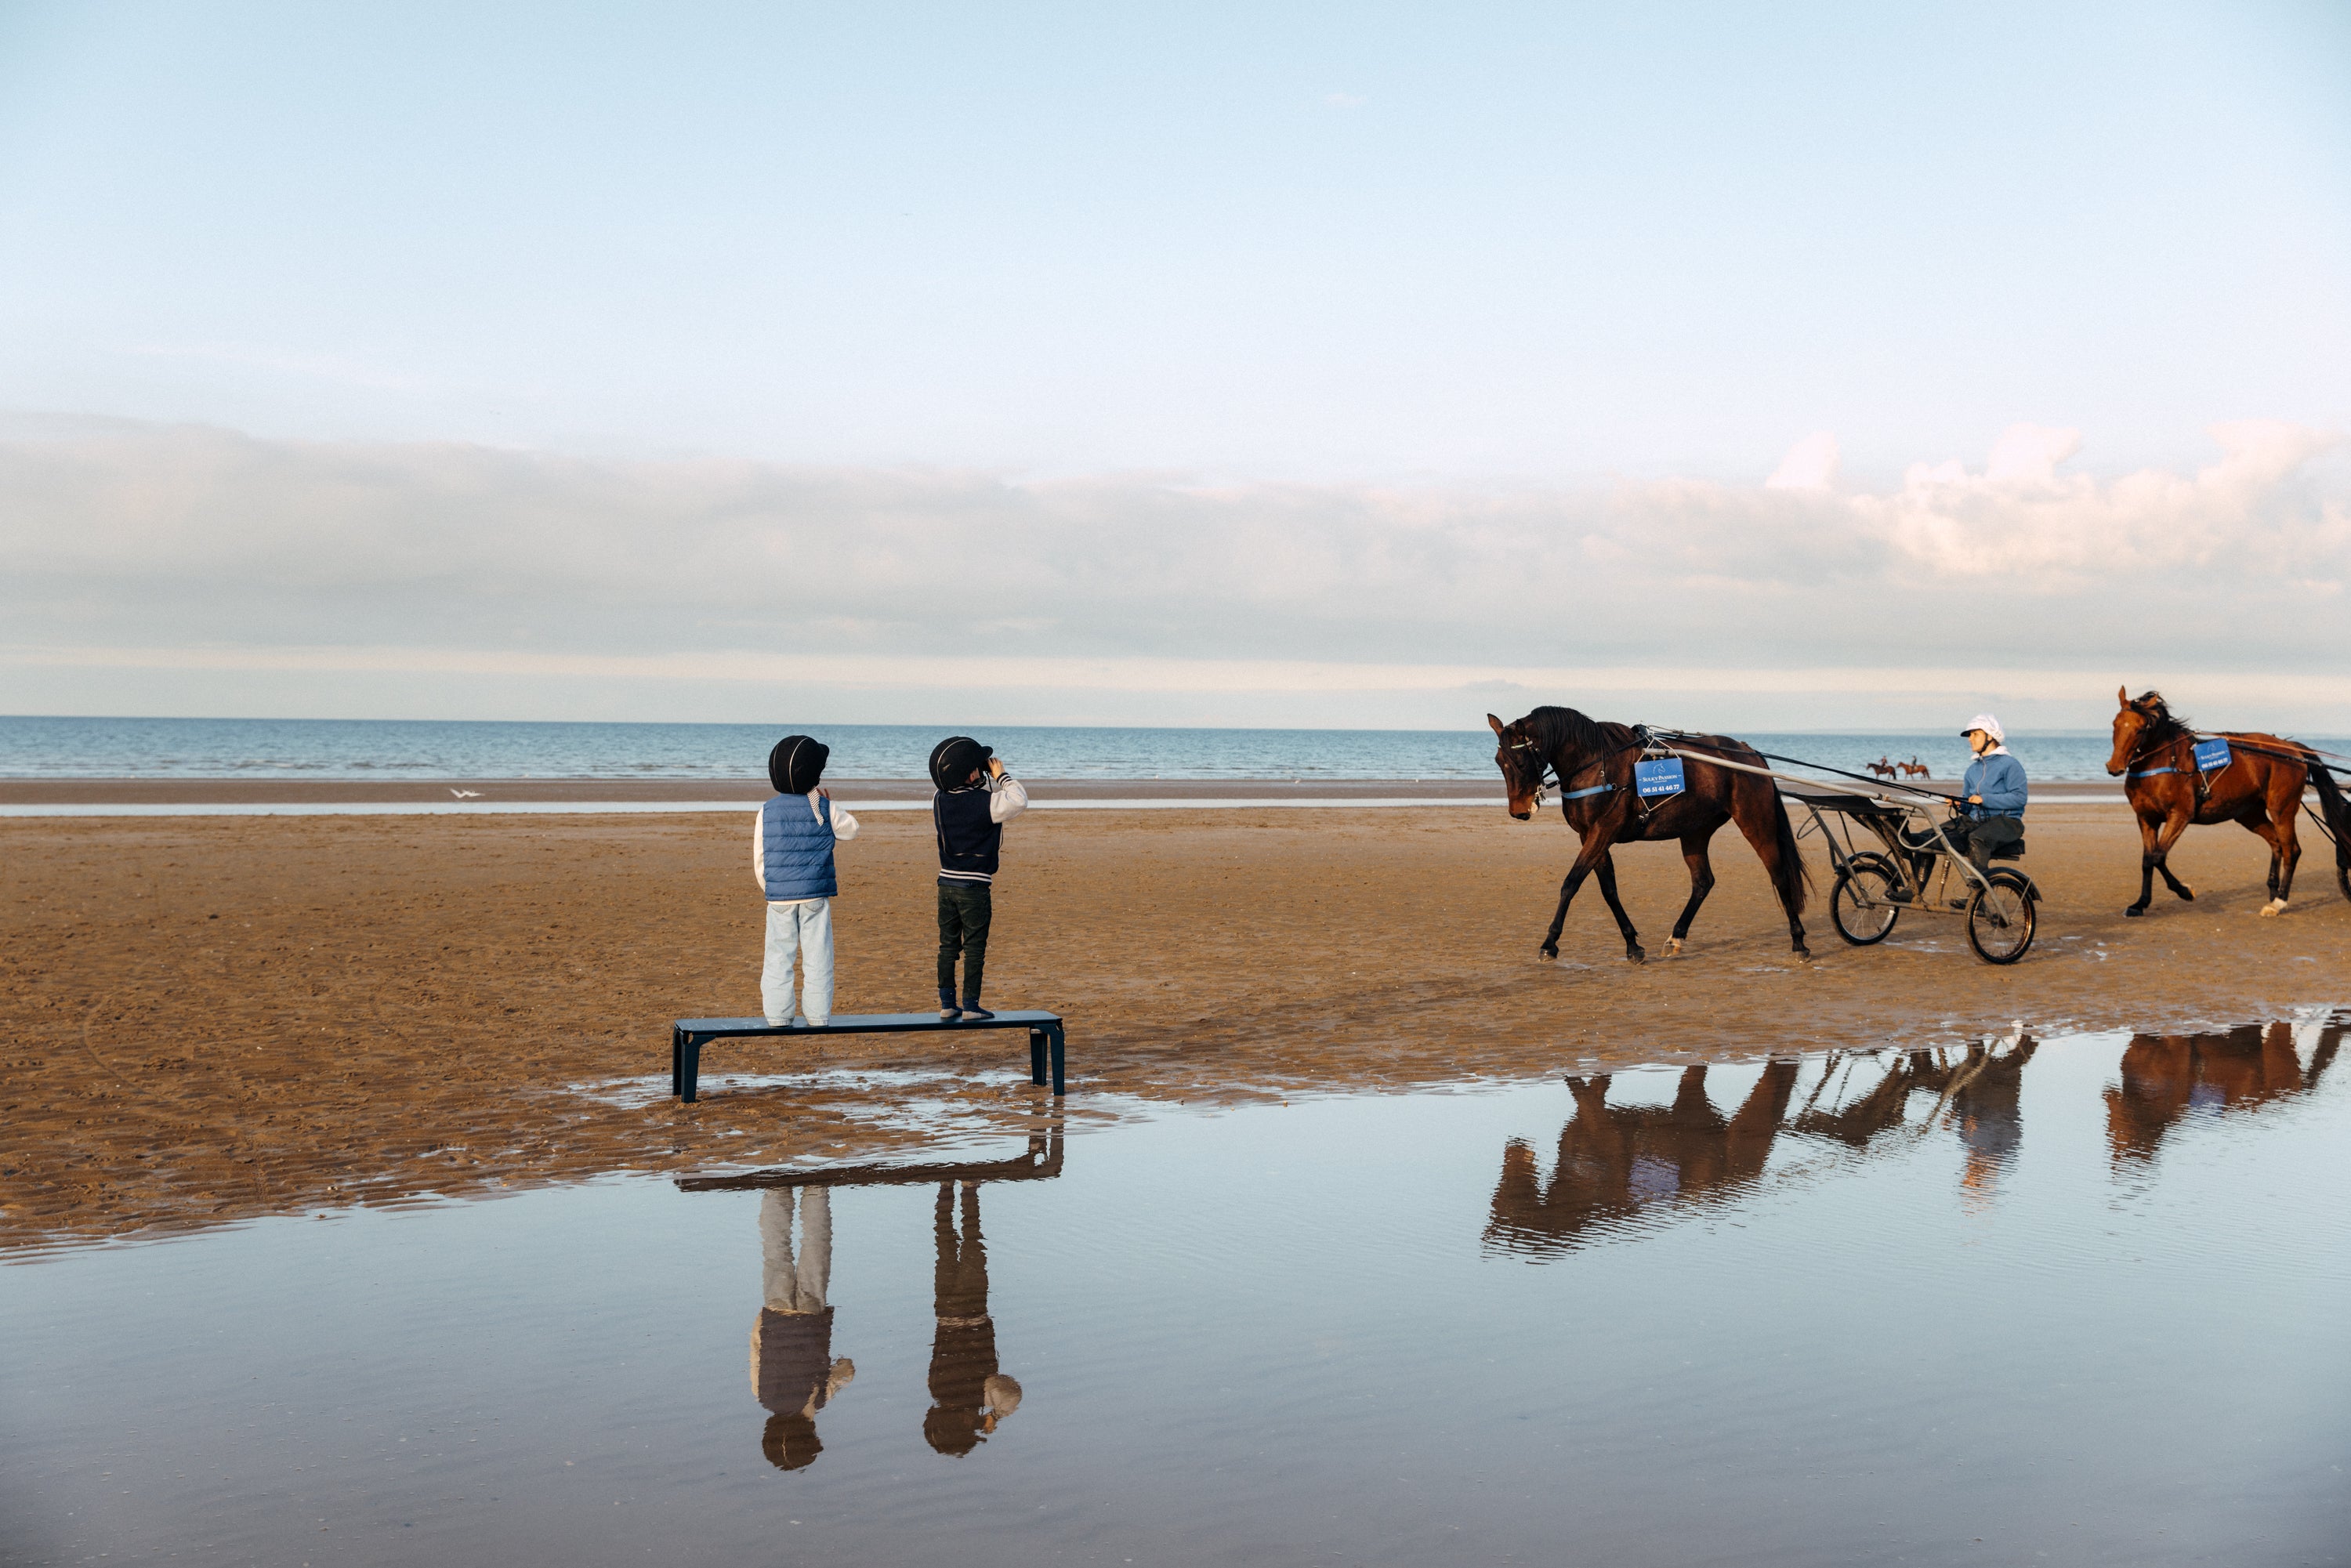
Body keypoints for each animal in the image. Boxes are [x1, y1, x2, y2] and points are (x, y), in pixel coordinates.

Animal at [1486, 710, 1815, 959]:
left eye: (1519, 761)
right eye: (1499, 761)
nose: (1518, 811)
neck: (1597, 766)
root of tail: (1748, 752)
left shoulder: (1602, 832)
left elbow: (1571, 883)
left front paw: (1550, 943)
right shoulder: (1591, 836)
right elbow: (1609, 890)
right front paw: (1632, 944)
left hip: (1755, 821)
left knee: (1779, 874)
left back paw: (1798, 940)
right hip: (1695, 830)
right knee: (1703, 882)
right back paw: (1677, 936)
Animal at [2106, 686, 2342, 922]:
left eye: (2140, 729)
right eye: (2115, 723)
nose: (2114, 767)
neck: (2165, 764)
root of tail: (2292, 749)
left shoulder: (2180, 815)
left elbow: (2158, 857)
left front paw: (2185, 891)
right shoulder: (2147, 819)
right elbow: (2148, 860)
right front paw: (2140, 903)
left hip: (2282, 809)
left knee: (2291, 850)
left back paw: (2279, 902)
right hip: (2250, 814)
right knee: (2276, 843)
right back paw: (2273, 893)